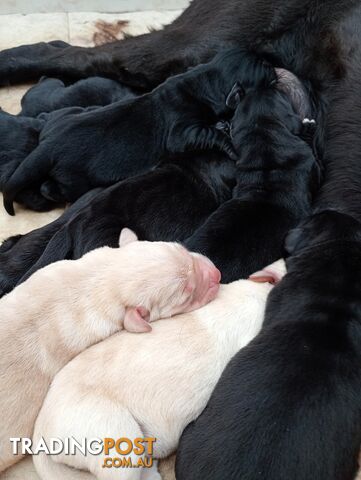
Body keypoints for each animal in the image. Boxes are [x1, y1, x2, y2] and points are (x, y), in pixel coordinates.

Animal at [2, 49, 272, 214]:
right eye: (263, 70)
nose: (274, 65)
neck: (204, 81)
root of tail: (48, 146)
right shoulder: (182, 129)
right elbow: (203, 135)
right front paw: (228, 141)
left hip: (64, 116)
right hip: (74, 178)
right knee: (51, 188)